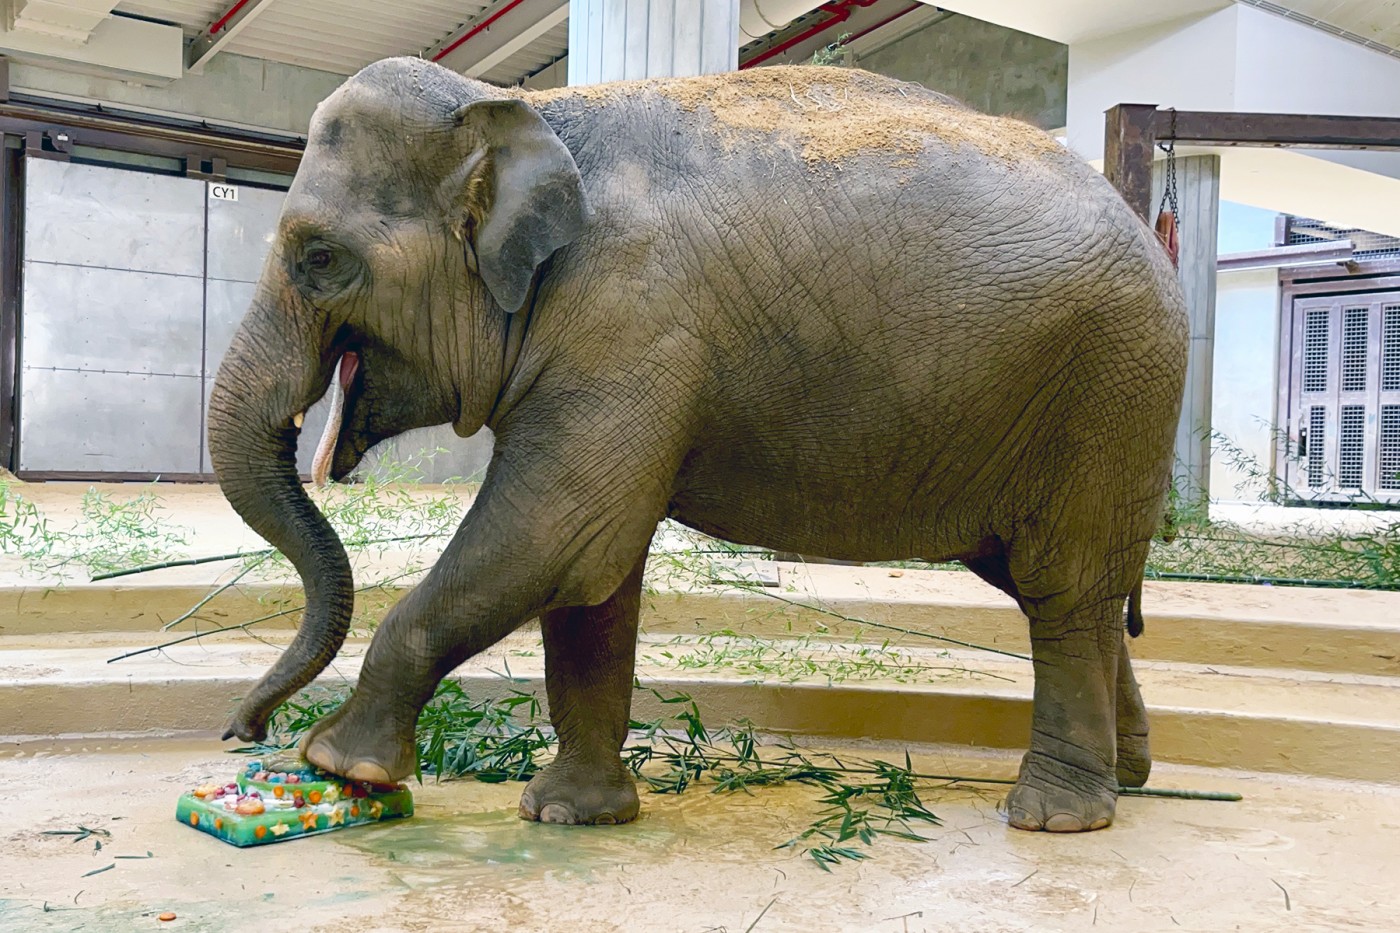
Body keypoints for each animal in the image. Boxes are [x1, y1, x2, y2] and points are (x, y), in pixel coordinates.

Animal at [207, 56, 1187, 829]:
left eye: (319, 258)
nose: (240, 731)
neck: (528, 108)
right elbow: (594, 573)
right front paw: (569, 814)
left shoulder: (627, 323)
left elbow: (553, 532)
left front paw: (339, 764)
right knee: (1059, 587)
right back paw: (1129, 775)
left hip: (1110, 387)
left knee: (1063, 586)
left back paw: (1055, 816)